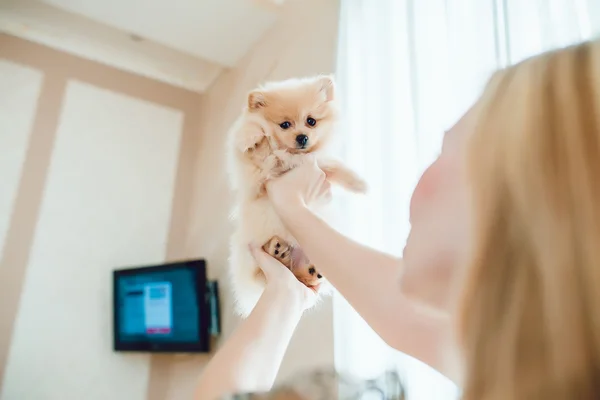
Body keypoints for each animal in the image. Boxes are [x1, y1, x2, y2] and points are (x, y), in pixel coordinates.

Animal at [226, 75, 364, 318]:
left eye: (311, 121)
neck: (290, 157)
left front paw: (359, 184)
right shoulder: (255, 177)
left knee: (300, 276)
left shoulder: (320, 162)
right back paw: (276, 250)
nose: (302, 137)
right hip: (251, 256)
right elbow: (254, 140)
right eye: (285, 125)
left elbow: (335, 166)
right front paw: (253, 136)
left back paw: (309, 269)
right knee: (264, 274)